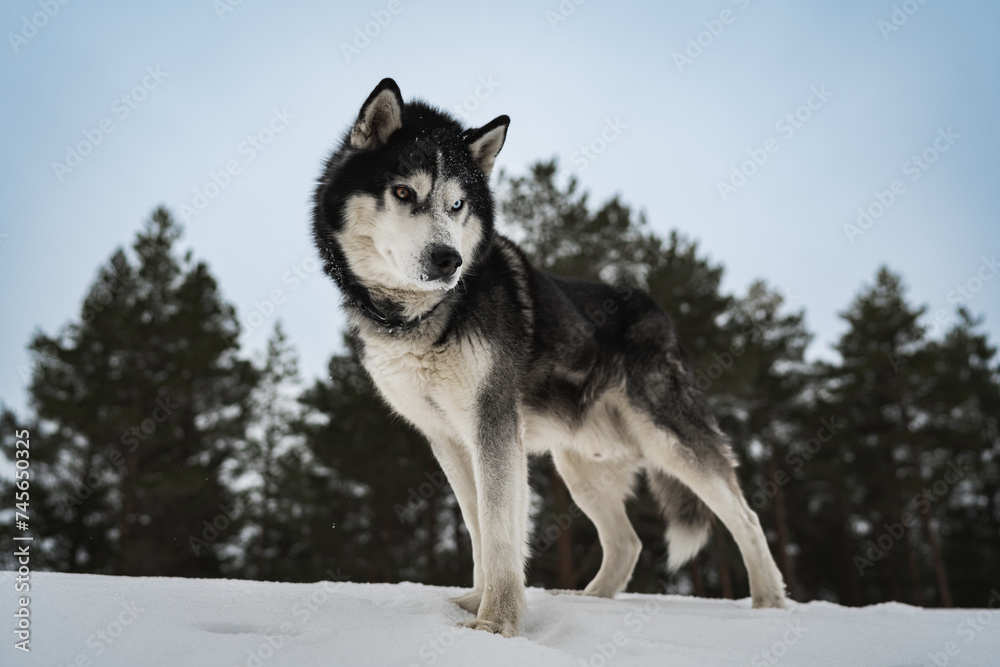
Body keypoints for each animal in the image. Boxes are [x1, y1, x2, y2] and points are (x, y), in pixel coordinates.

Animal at [312, 81, 788, 640]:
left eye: (457, 204)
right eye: (404, 192)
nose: (449, 260)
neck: (424, 316)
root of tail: (656, 309)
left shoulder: (493, 425)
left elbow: (499, 530)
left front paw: (496, 624)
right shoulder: (449, 438)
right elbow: (478, 525)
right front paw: (475, 601)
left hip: (670, 442)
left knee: (746, 517)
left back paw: (770, 602)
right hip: (577, 467)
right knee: (628, 541)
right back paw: (590, 599)